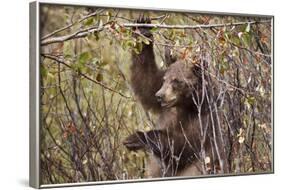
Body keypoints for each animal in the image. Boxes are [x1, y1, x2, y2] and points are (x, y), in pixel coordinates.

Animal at [123, 17, 224, 177]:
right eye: (165, 79)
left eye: (177, 81)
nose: (160, 96)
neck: (184, 105)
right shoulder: (164, 103)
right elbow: (147, 83)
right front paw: (143, 29)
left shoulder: (203, 120)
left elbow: (183, 147)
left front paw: (137, 137)